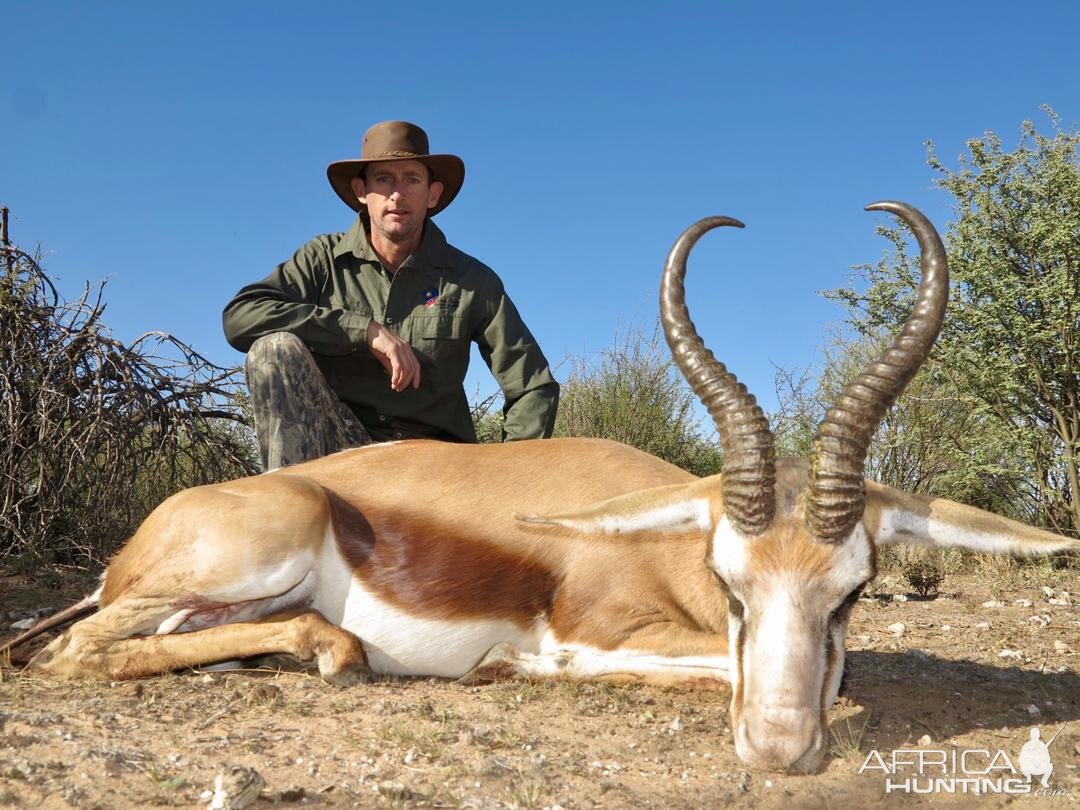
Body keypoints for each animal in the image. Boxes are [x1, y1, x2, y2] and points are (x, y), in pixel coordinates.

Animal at [8, 201, 1080, 773]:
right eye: (730, 584)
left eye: (854, 592)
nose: (782, 752)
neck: (653, 546)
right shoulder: (596, 631)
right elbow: (685, 664)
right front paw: (510, 669)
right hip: (252, 555)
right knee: (75, 653)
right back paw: (330, 653)